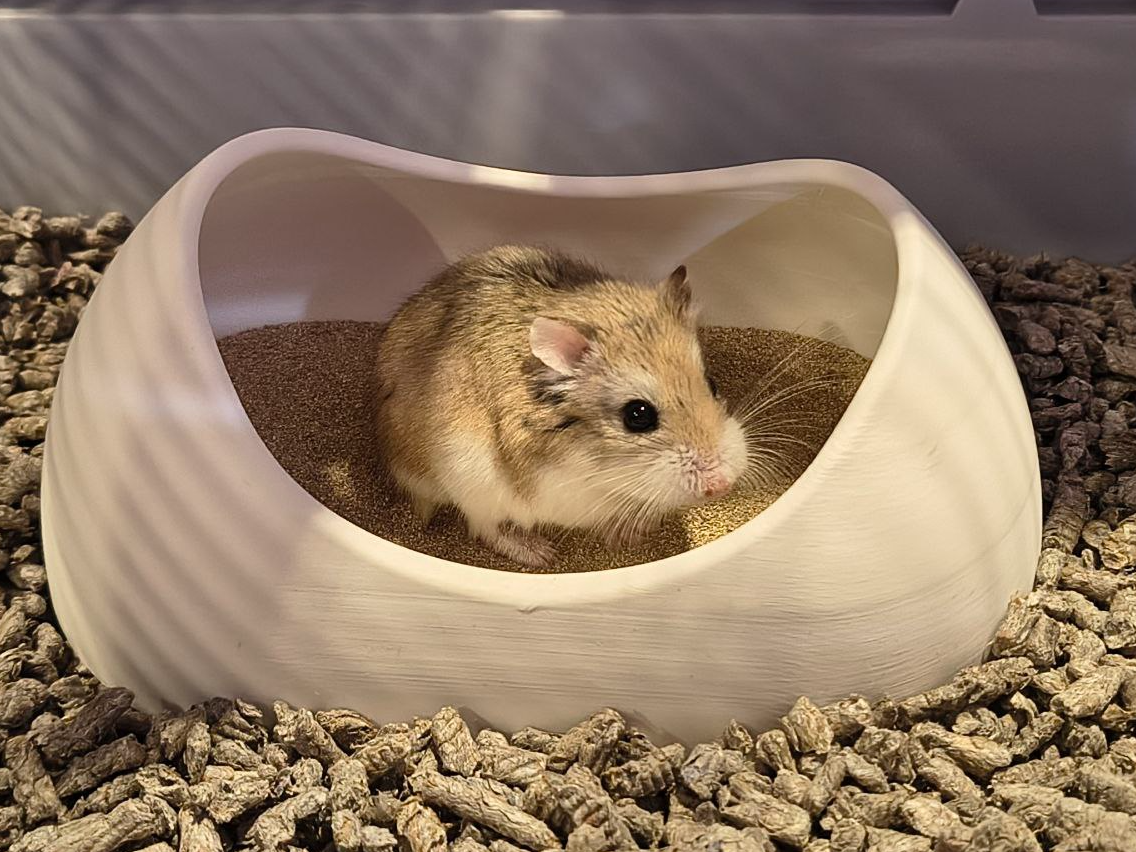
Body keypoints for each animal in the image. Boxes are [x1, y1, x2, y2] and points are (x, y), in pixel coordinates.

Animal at [374, 245, 749, 568]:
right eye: (637, 415)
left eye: (712, 384)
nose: (721, 486)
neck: (593, 459)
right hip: (472, 482)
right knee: (485, 528)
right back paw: (539, 554)